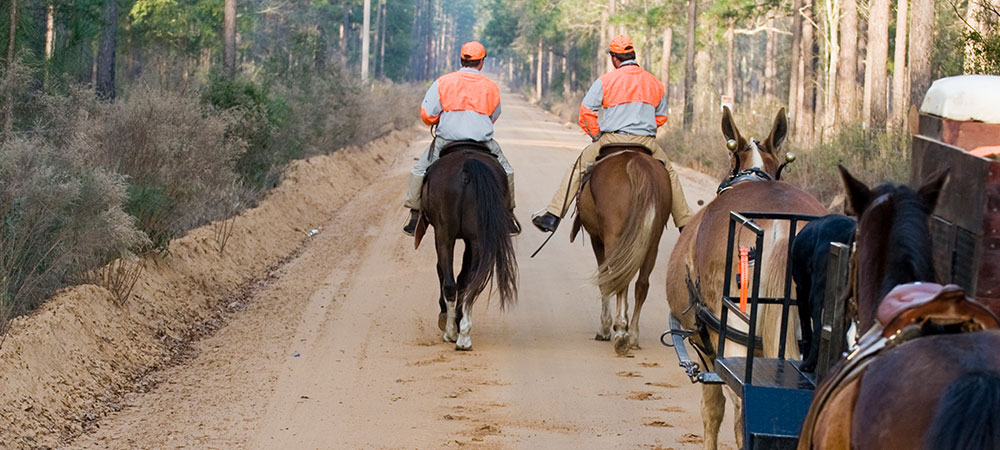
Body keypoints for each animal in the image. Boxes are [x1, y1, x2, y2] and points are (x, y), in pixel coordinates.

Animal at [412, 144, 516, 352]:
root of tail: (469, 165)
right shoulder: (470, 240)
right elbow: (464, 277)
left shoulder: (441, 235)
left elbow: (444, 272)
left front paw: (446, 318)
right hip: (477, 239)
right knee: (470, 283)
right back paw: (464, 336)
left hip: (444, 234)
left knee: (449, 283)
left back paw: (451, 332)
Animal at [572, 147, 672, 356]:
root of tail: (635, 162)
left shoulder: (597, 240)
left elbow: (605, 281)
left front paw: (606, 328)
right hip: (652, 242)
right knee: (641, 284)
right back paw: (632, 334)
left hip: (614, 238)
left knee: (619, 279)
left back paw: (620, 333)